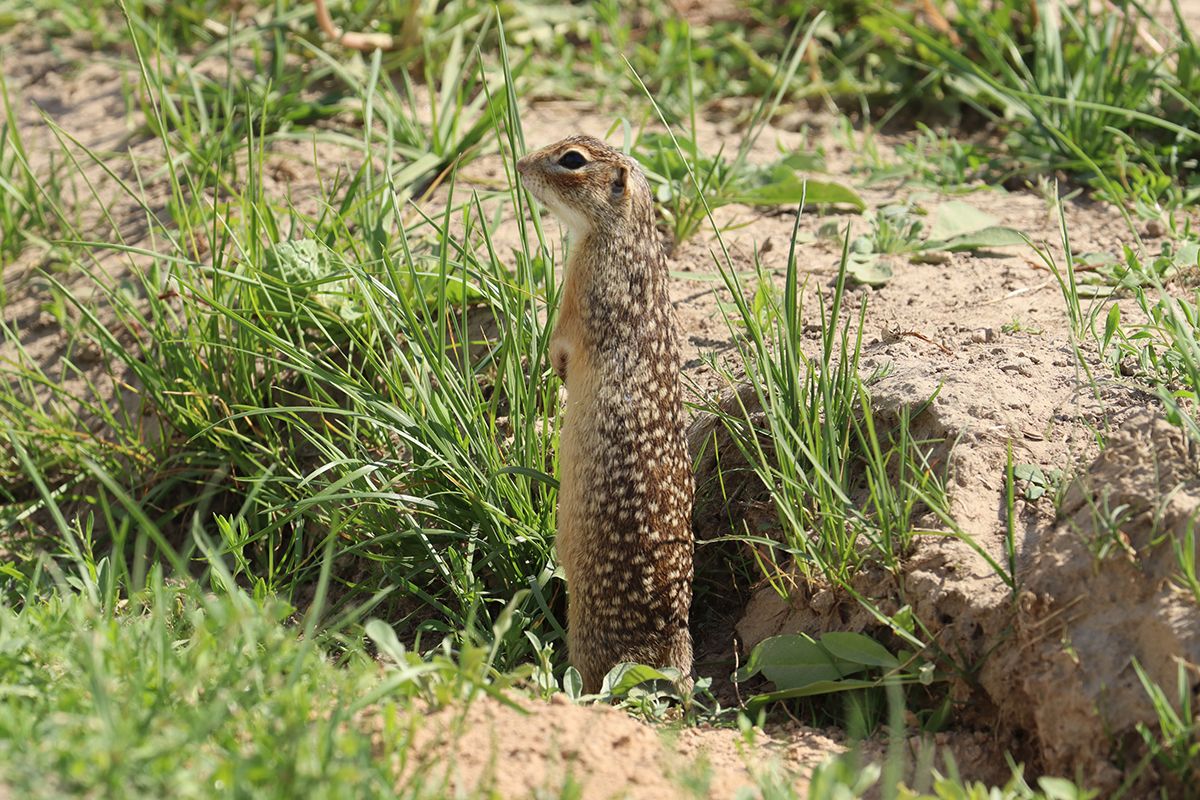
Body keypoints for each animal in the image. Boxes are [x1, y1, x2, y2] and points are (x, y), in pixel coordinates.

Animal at [516, 133, 696, 695]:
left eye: (572, 160)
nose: (521, 163)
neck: (625, 234)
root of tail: (673, 647)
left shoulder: (580, 289)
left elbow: (562, 340)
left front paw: (553, 367)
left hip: (590, 639)